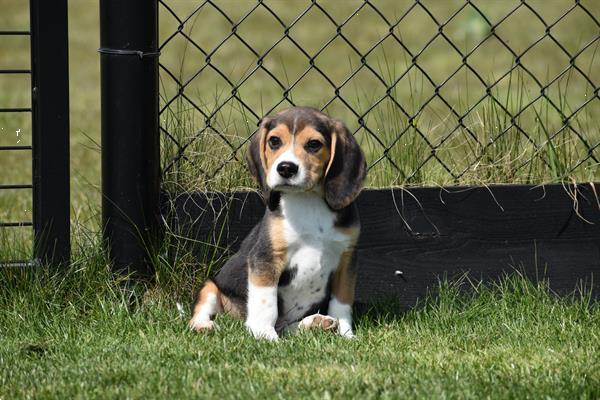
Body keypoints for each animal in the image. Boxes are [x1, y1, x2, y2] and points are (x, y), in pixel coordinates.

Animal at [190, 106, 366, 340]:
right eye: (274, 141)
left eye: (314, 144)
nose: (286, 168)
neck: (307, 200)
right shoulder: (266, 258)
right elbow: (266, 303)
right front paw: (264, 335)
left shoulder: (347, 259)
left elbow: (342, 303)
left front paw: (346, 335)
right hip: (211, 286)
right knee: (202, 308)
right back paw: (204, 325)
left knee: (289, 328)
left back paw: (314, 323)